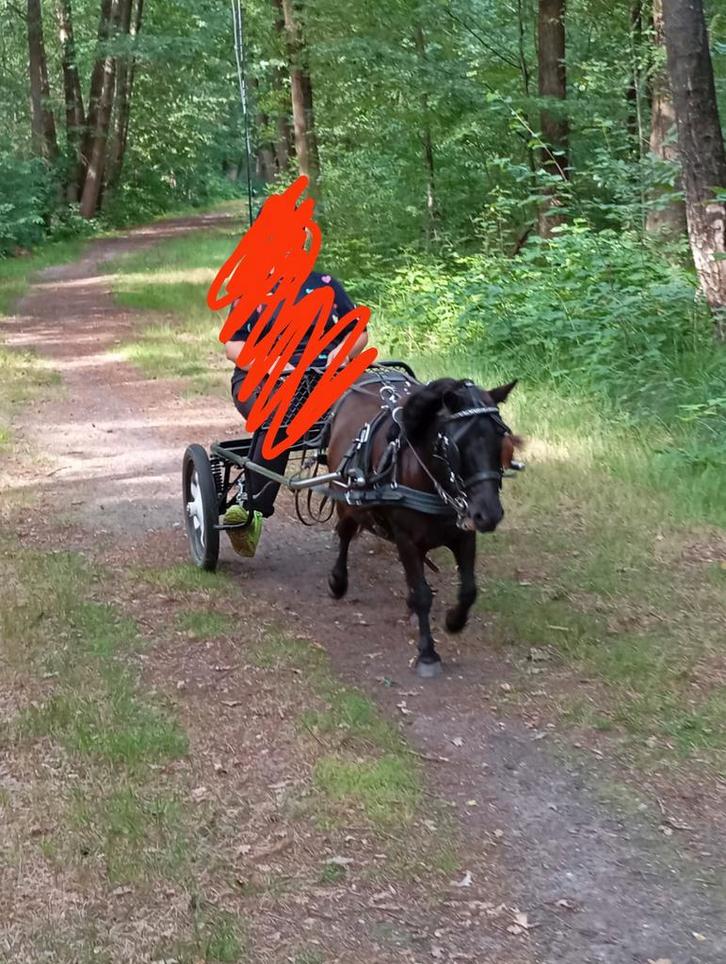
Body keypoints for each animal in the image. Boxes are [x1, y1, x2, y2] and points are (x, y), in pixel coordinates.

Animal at [325, 372, 519, 676]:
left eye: (501, 439)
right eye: (456, 444)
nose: (489, 514)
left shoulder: (464, 534)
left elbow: (468, 590)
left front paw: (454, 621)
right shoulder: (406, 538)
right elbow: (424, 595)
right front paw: (428, 654)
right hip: (347, 500)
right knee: (345, 532)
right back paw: (338, 580)